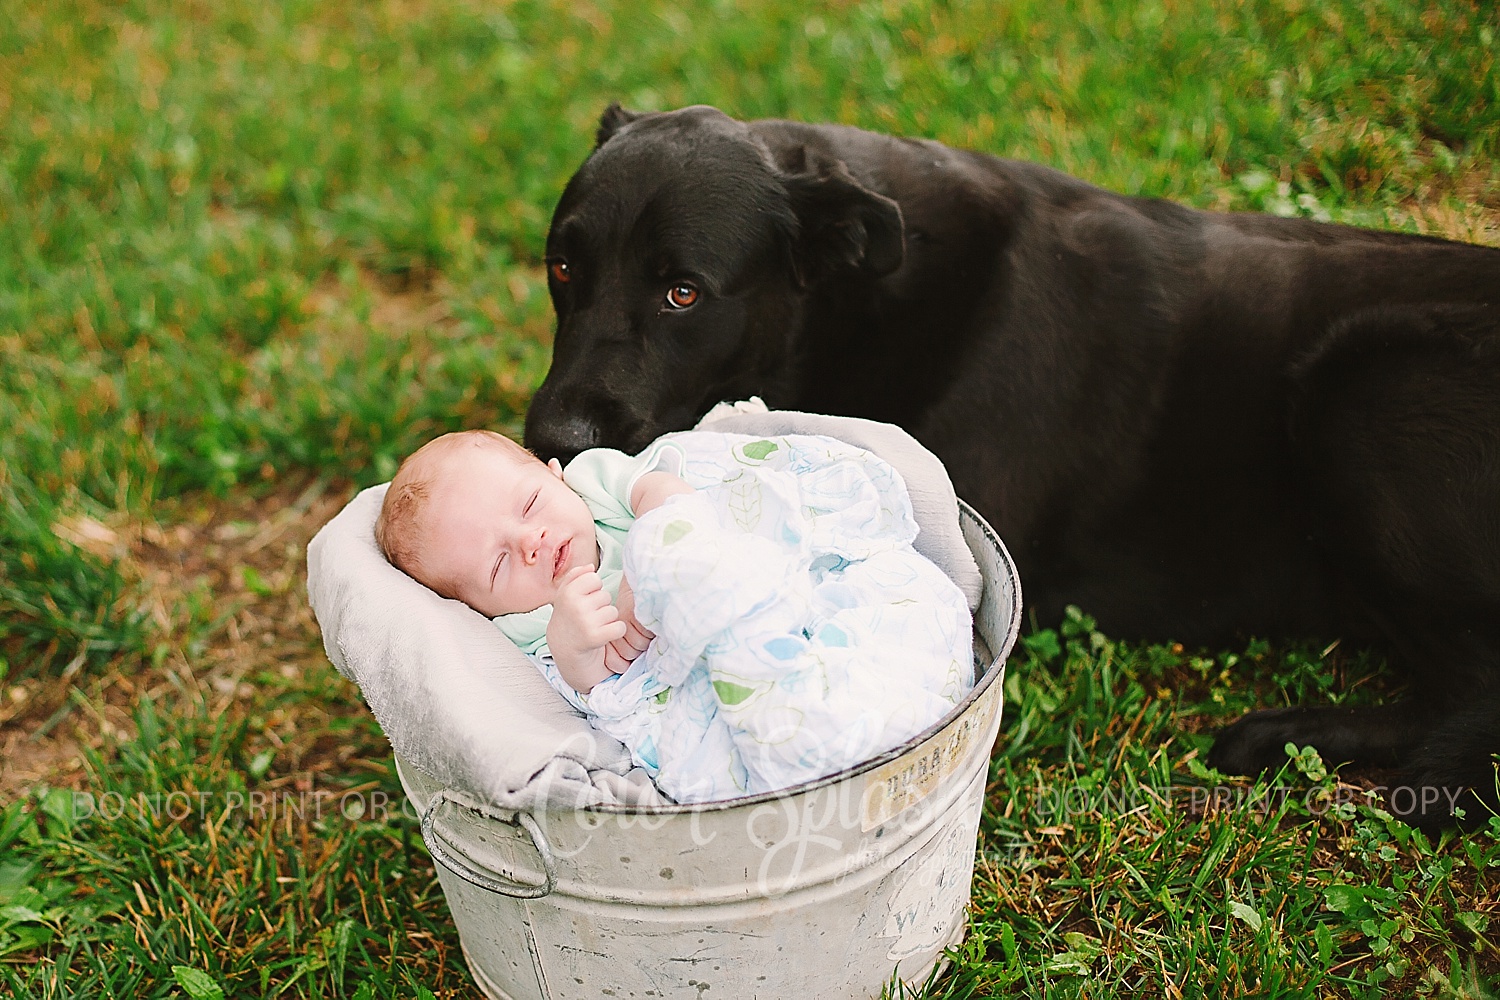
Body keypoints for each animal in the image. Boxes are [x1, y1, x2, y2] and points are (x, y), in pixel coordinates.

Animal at [528, 103, 1500, 827]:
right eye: (563, 267)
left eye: (682, 292)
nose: (551, 436)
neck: (865, 305)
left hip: (1367, 385)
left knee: (1476, 711)